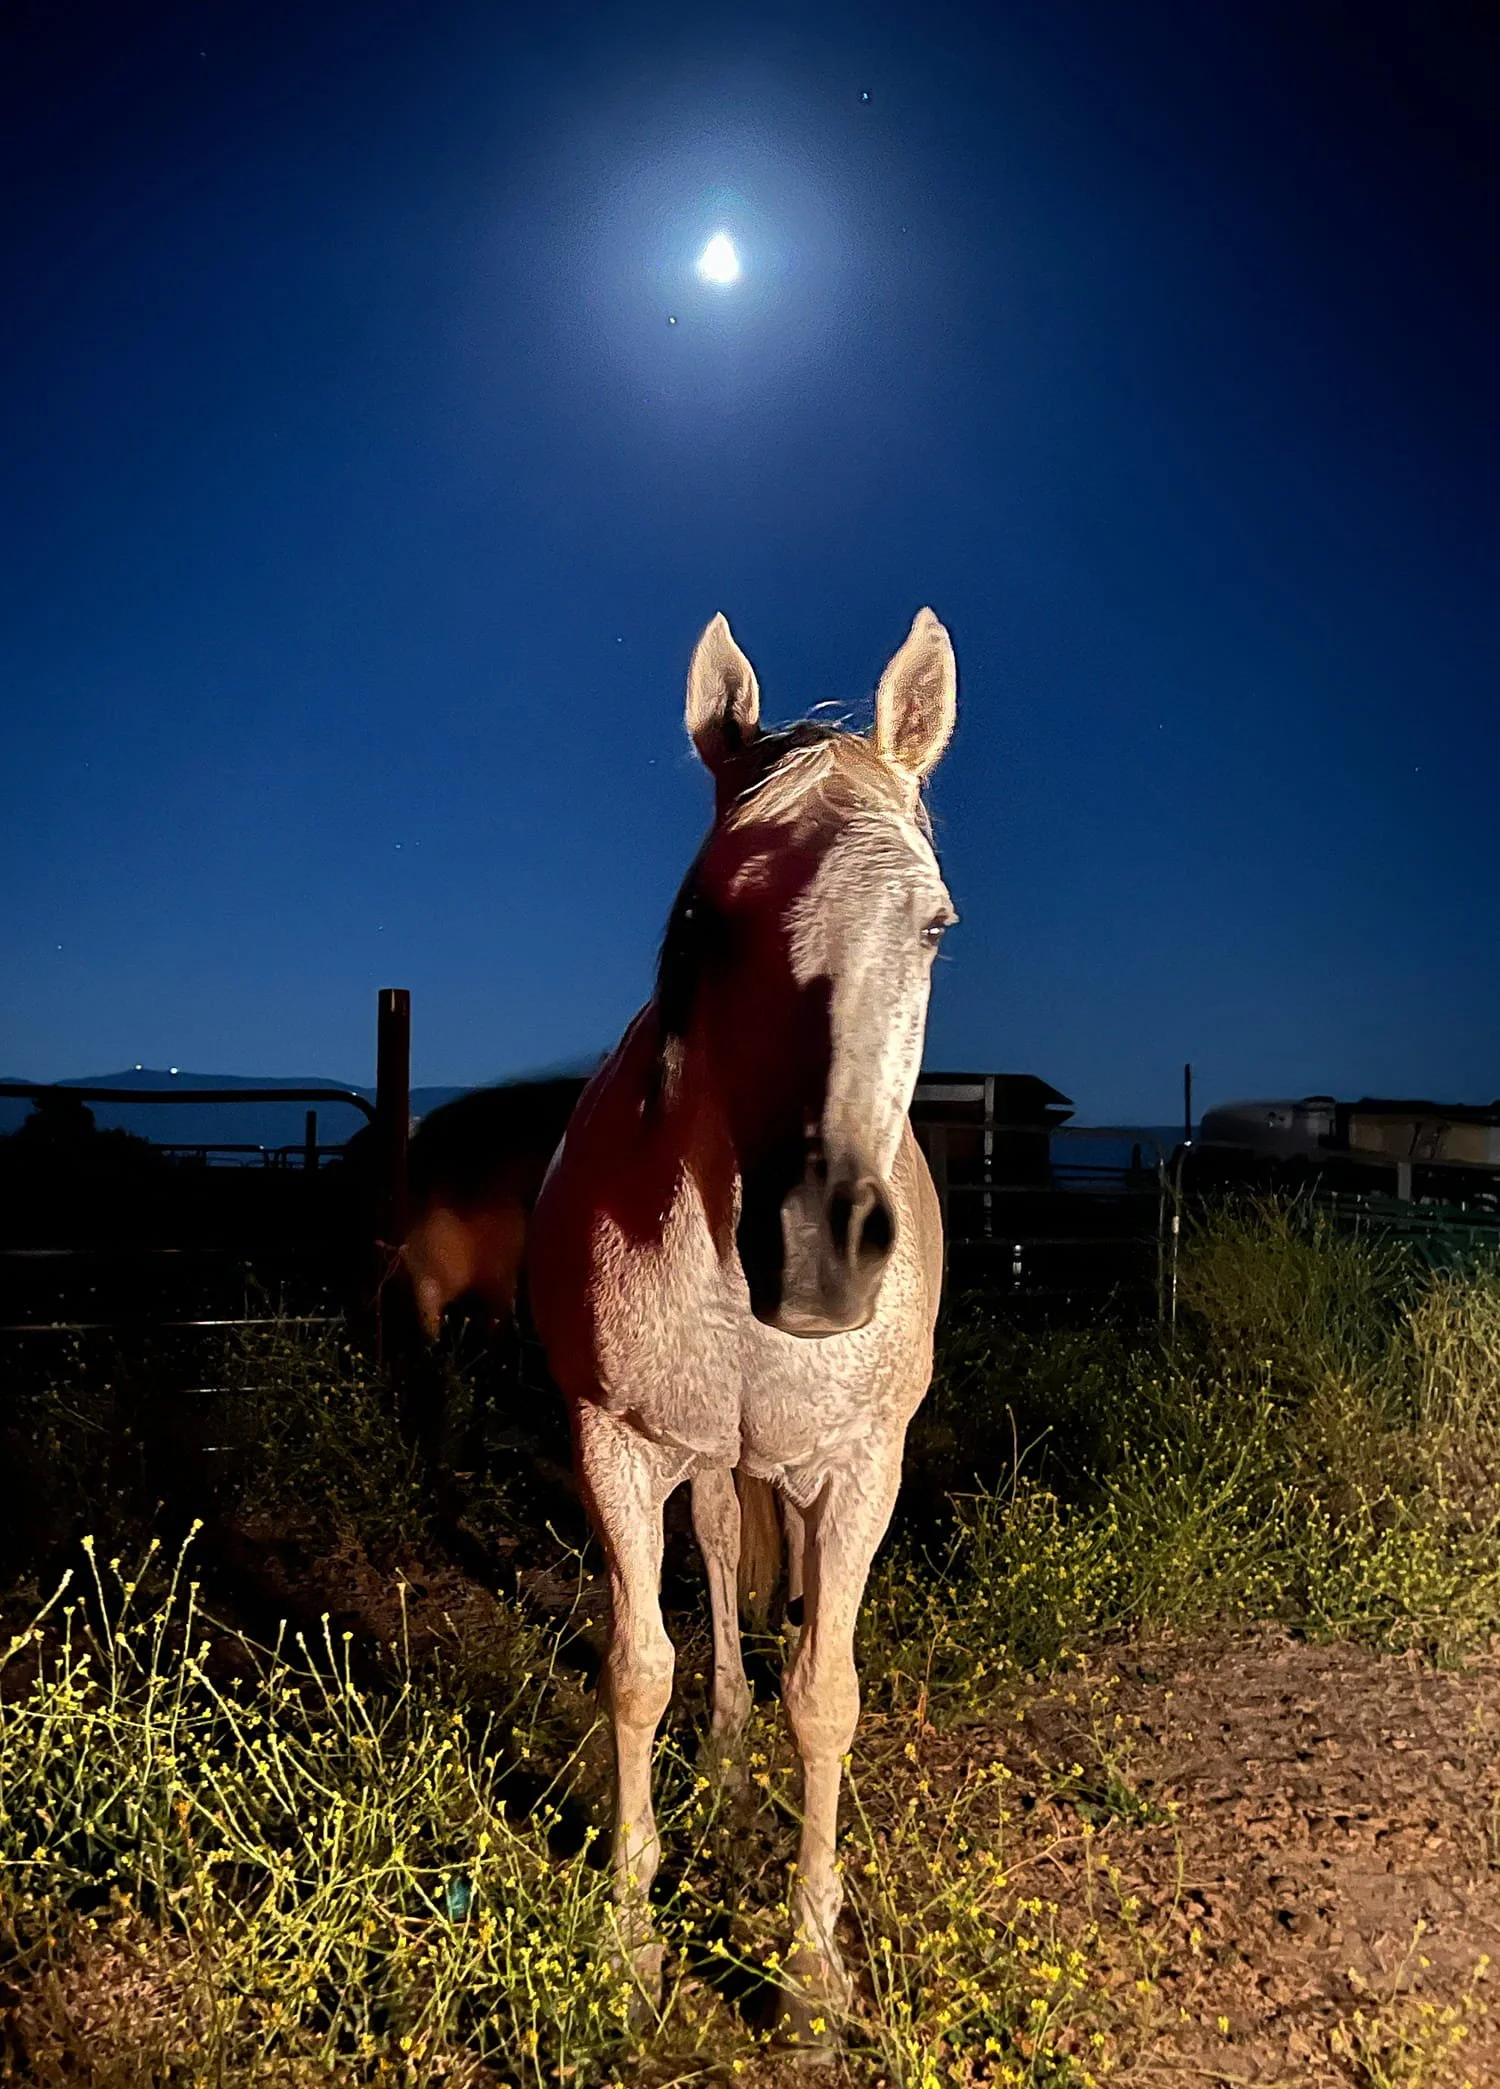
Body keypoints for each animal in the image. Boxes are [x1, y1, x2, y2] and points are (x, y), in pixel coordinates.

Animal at [528, 606, 958, 2044]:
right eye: (704, 918)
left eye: (934, 926)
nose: (817, 1246)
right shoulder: (611, 1445)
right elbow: (638, 1668)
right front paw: (626, 1943)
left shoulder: (864, 1467)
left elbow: (826, 1693)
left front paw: (813, 1970)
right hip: (702, 1462)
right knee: (715, 1556)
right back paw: (719, 1751)